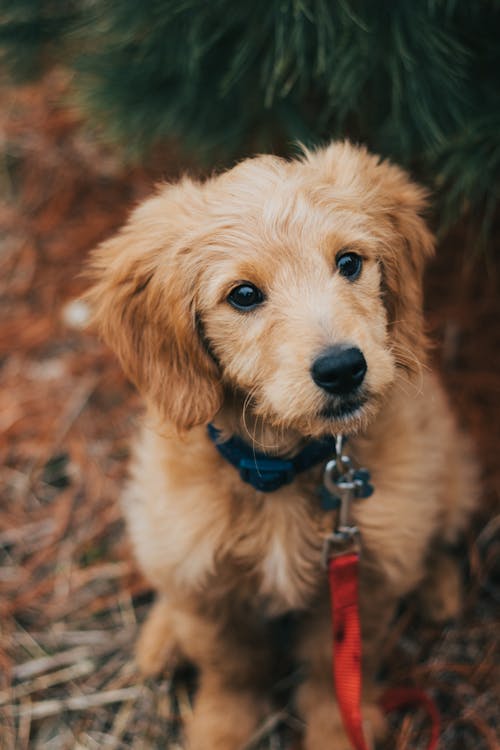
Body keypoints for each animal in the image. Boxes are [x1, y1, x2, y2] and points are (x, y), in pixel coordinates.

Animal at [85, 142, 476, 750]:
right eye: (244, 295)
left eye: (349, 262)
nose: (343, 368)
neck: (282, 469)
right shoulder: (207, 580)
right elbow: (231, 669)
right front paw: (220, 730)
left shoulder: (359, 577)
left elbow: (335, 669)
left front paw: (339, 733)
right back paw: (162, 637)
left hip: (447, 471)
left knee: (437, 531)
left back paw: (437, 587)